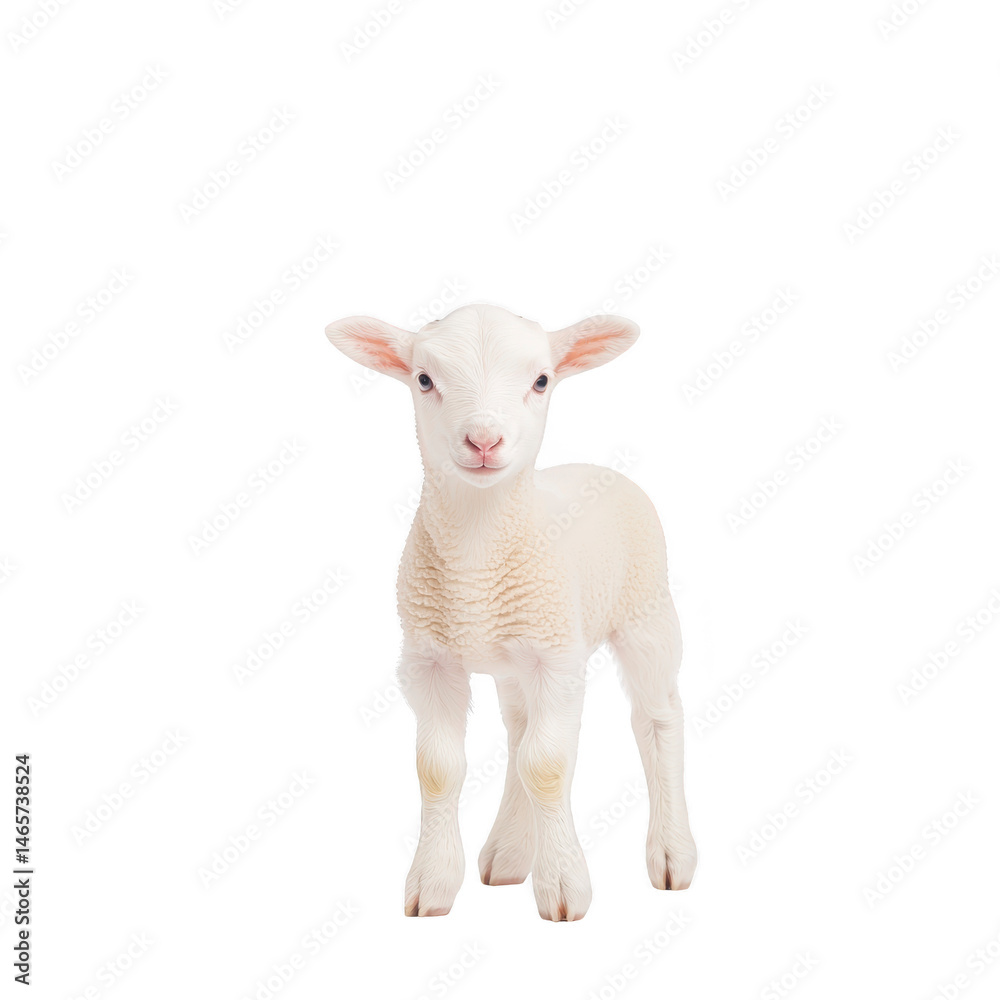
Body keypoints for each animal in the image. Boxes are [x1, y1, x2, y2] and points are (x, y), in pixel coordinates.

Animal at [325, 303, 696, 921]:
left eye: (542, 380)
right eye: (423, 379)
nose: (483, 440)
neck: (478, 557)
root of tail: (598, 467)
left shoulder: (556, 659)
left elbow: (546, 764)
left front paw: (564, 885)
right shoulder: (430, 661)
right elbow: (439, 768)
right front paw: (433, 884)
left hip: (645, 613)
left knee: (657, 719)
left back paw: (671, 854)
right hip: (517, 661)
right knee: (522, 731)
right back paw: (508, 855)